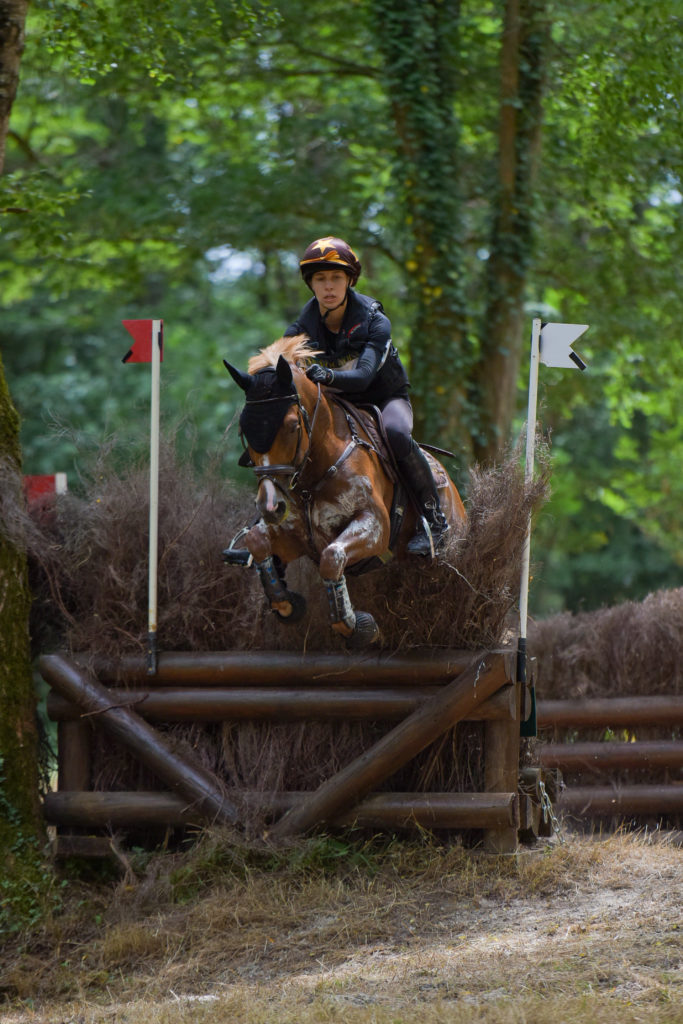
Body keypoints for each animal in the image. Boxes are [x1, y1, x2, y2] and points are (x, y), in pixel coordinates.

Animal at [227, 335, 466, 647]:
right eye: (244, 430)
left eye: (292, 426)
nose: (271, 507)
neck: (313, 477)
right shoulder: (294, 536)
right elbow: (258, 541)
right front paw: (288, 604)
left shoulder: (375, 526)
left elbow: (332, 557)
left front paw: (359, 626)